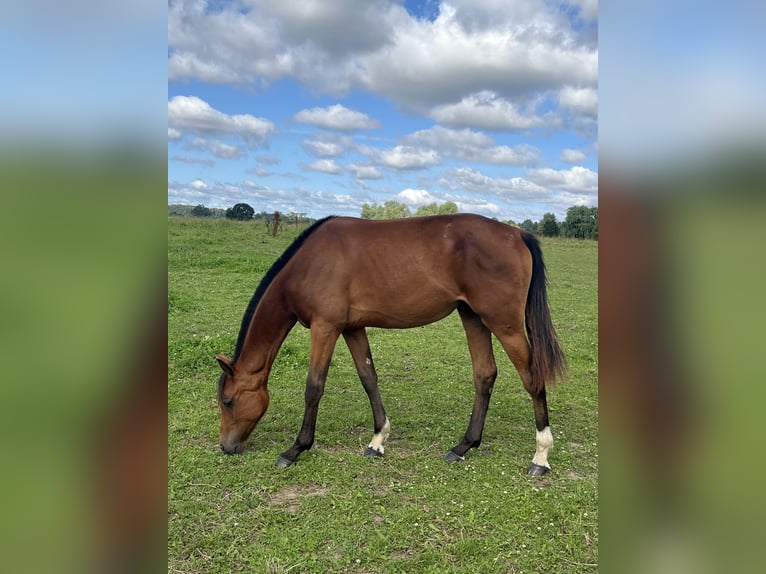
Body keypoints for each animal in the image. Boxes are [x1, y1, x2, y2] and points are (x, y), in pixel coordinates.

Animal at [213, 216, 568, 476]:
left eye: (228, 401)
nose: (226, 447)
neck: (309, 263)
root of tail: (517, 233)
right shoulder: (352, 328)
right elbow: (368, 378)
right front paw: (377, 440)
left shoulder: (325, 328)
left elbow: (314, 387)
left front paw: (295, 449)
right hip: (473, 317)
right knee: (485, 375)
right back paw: (463, 446)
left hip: (504, 324)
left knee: (532, 378)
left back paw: (540, 457)